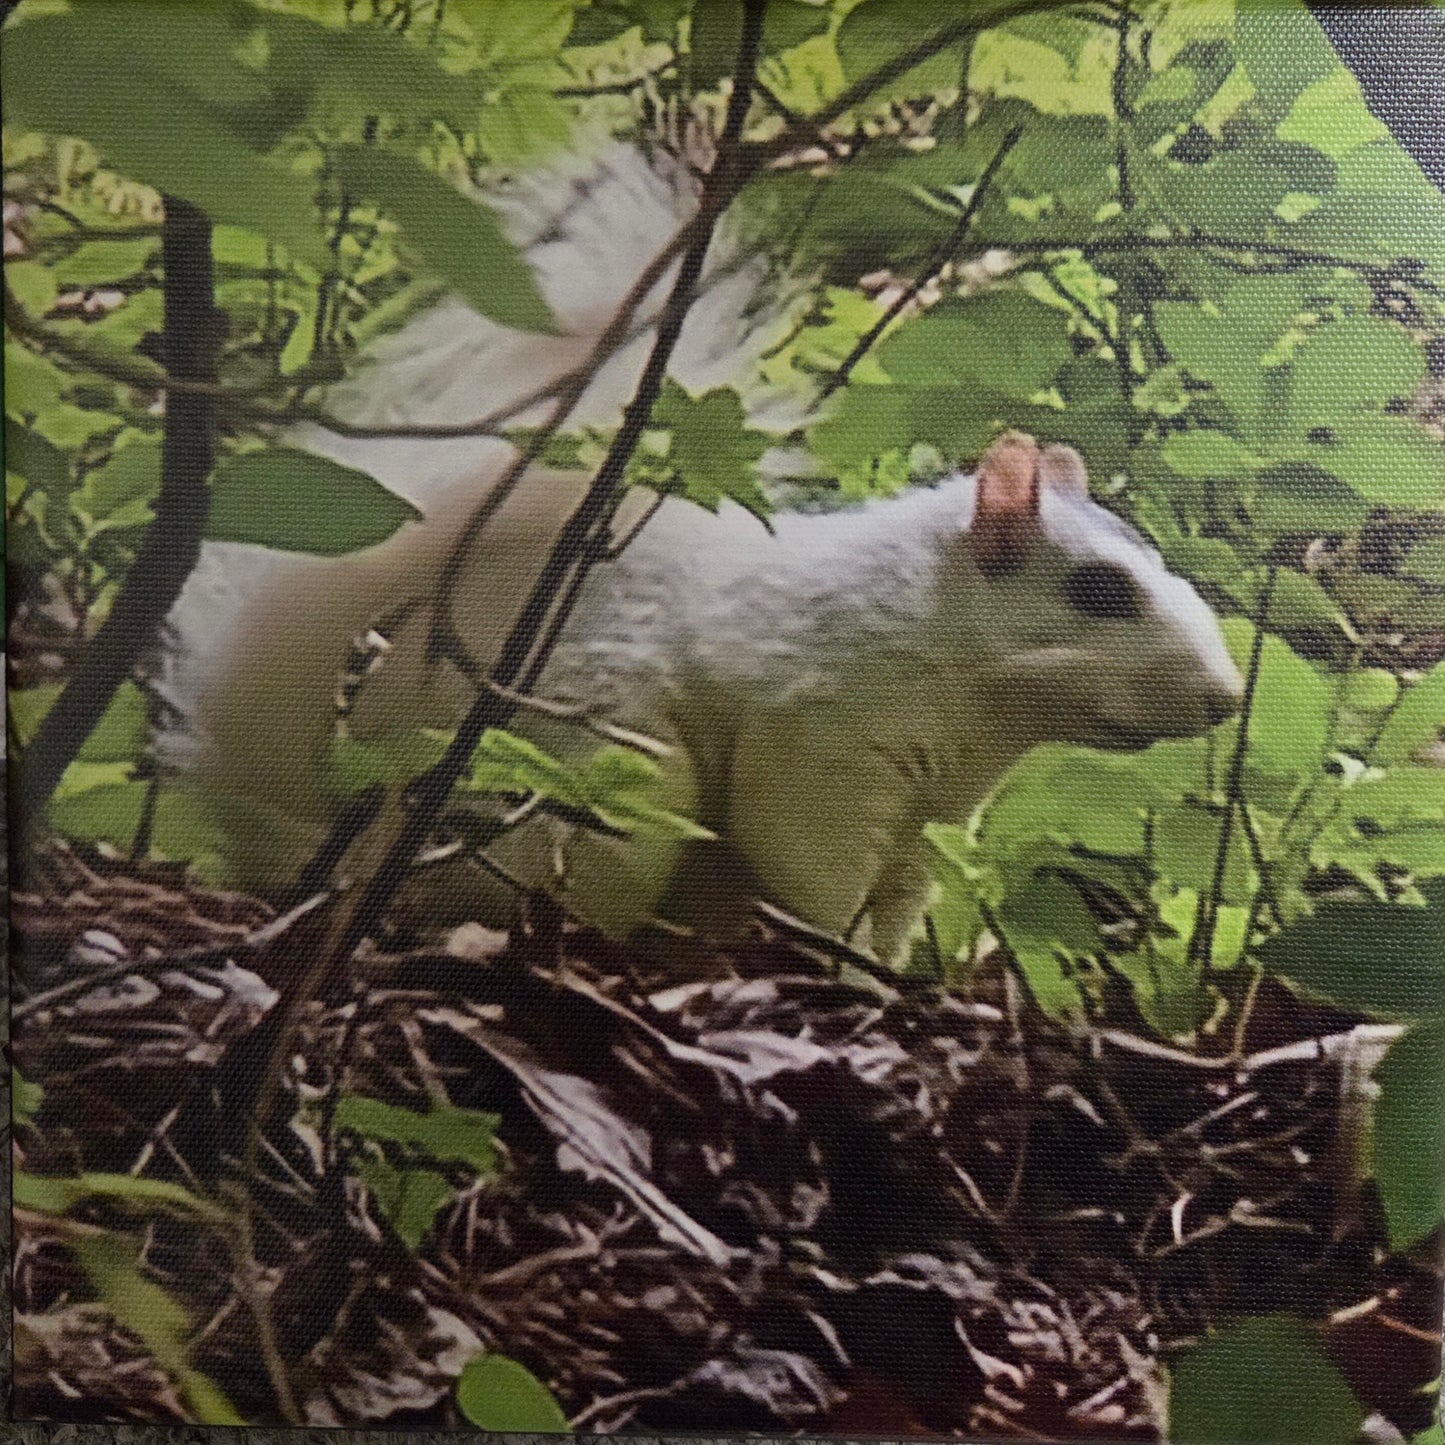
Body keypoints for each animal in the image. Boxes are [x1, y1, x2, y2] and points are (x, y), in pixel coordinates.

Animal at [158, 143, 1244, 963]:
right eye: (1098, 590)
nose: (1226, 696)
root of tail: (306, 829)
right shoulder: (820, 733)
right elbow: (808, 862)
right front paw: (846, 969)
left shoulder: (926, 825)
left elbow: (891, 909)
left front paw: (893, 975)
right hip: (594, 787)